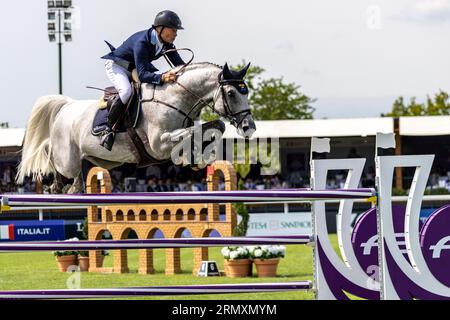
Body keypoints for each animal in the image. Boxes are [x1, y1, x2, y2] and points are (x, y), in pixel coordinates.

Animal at [16, 62, 256, 192]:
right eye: (232, 93)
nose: (248, 127)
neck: (175, 98)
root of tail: (66, 105)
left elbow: (215, 126)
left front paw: (198, 158)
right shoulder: (159, 145)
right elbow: (193, 132)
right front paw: (194, 157)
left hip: (104, 160)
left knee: (75, 180)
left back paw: (65, 188)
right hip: (66, 160)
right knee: (52, 158)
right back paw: (52, 184)